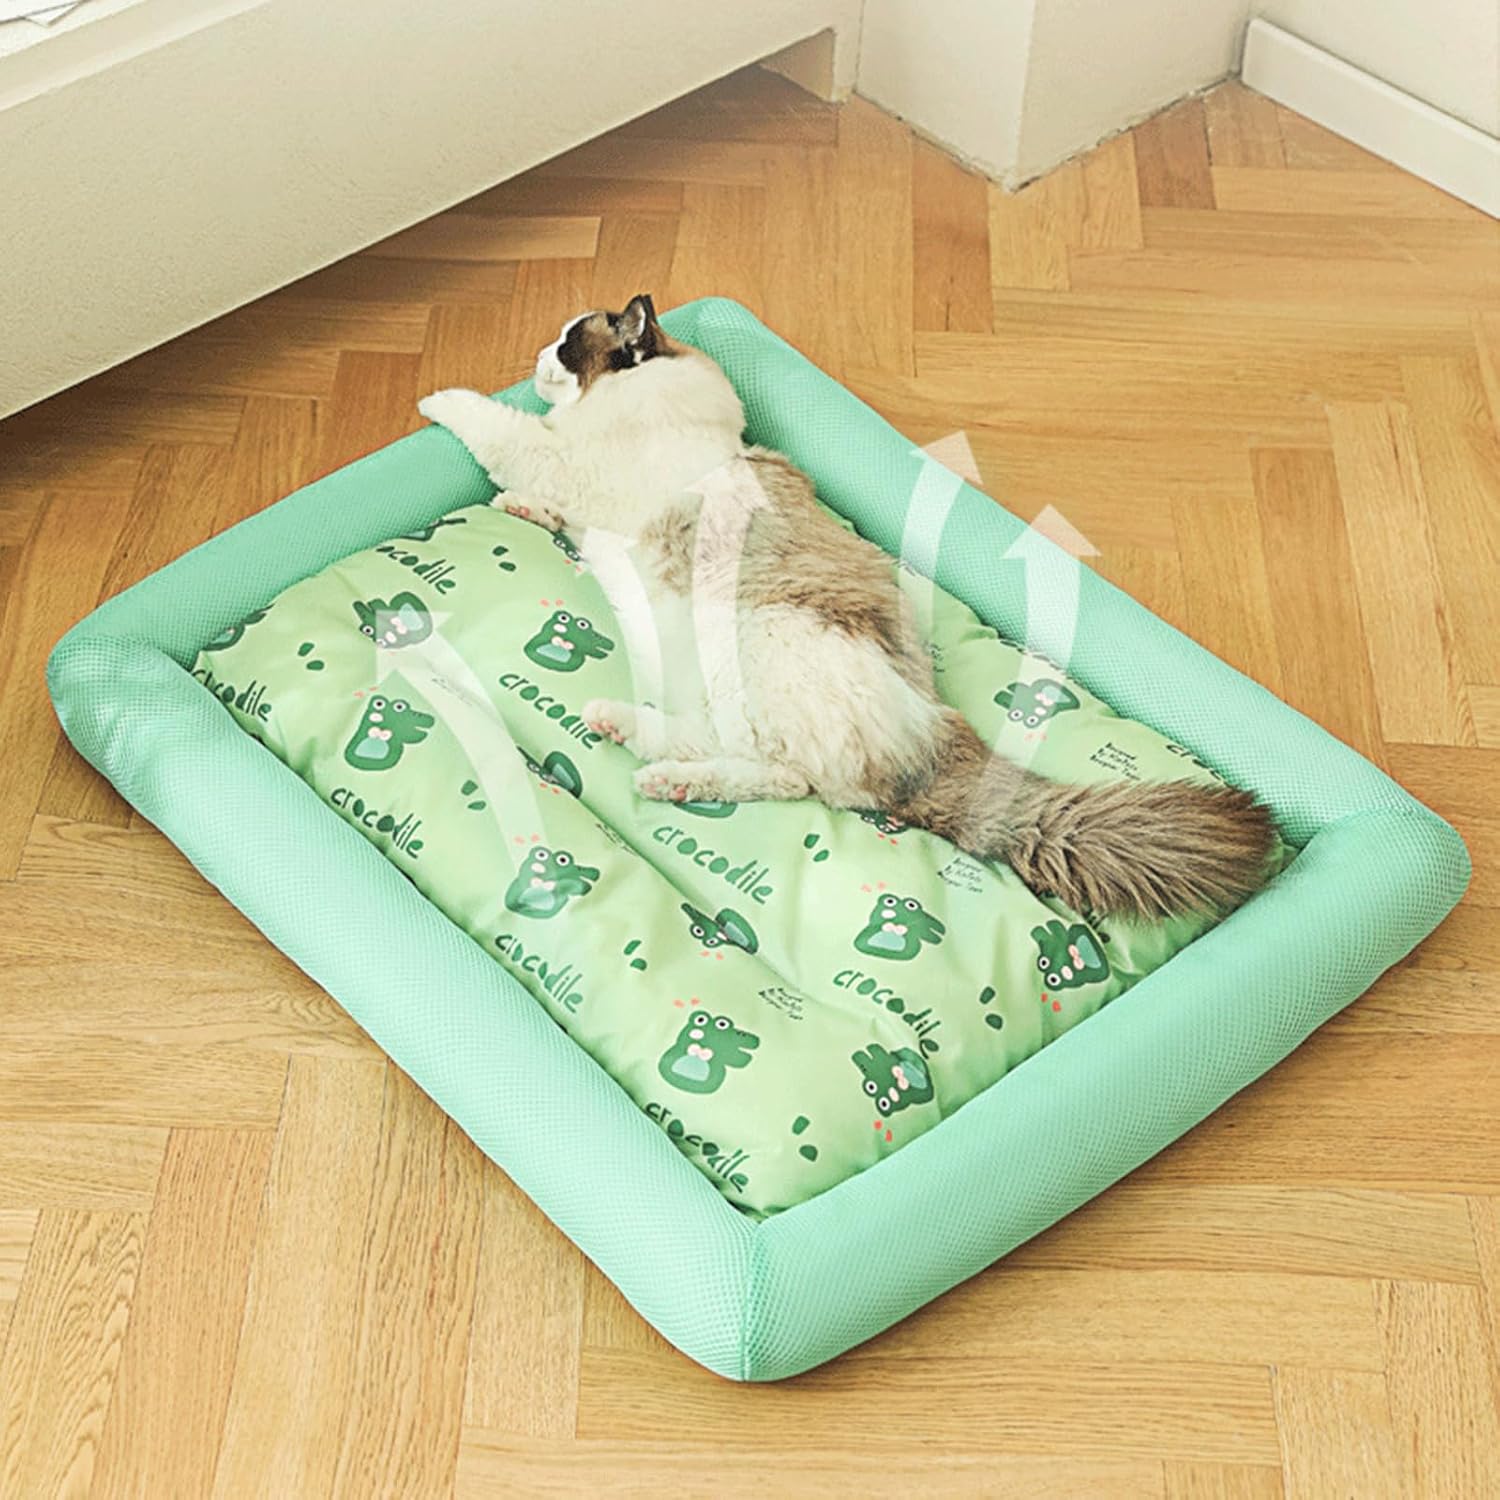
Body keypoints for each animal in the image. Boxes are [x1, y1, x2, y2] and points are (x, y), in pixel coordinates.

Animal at [417, 294, 1276, 920]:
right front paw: (515, 507)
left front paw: (435, 400)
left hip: (750, 643)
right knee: (764, 768)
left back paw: (641, 754)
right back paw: (639, 748)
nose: (535, 358)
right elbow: (540, 500)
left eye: (569, 344)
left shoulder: (562, 461)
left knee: (780, 774)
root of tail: (940, 733)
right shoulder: (574, 494)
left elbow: (493, 425)